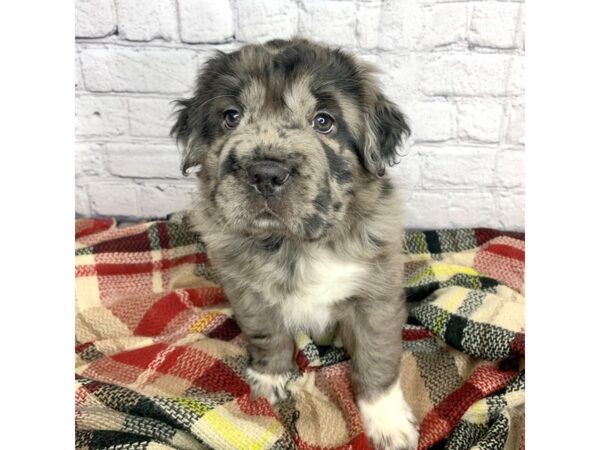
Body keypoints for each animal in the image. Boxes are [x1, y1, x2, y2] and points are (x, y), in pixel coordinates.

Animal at [171, 39, 420, 450]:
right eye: (231, 117)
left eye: (323, 121)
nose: (265, 174)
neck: (295, 243)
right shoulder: (247, 291)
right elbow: (266, 334)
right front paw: (270, 378)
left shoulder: (375, 296)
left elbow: (377, 355)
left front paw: (387, 420)